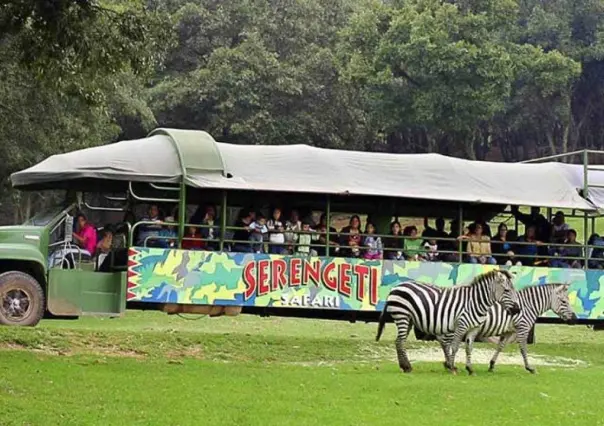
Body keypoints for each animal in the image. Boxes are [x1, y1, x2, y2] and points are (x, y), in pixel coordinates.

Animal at [376, 270, 520, 372]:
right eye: (507, 290)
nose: (517, 309)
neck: (475, 302)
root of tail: (395, 287)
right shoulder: (461, 325)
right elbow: (455, 346)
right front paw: (451, 366)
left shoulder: (473, 328)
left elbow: (469, 347)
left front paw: (470, 369)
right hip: (402, 315)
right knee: (400, 341)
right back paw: (406, 367)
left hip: (409, 319)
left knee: (399, 341)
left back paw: (405, 366)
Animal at [438, 284, 576, 374]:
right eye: (564, 302)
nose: (575, 319)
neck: (529, 306)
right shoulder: (523, 328)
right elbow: (523, 349)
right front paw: (529, 368)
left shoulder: (509, 331)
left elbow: (500, 347)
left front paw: (492, 365)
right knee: (446, 342)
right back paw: (449, 364)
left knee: (443, 342)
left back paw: (448, 364)